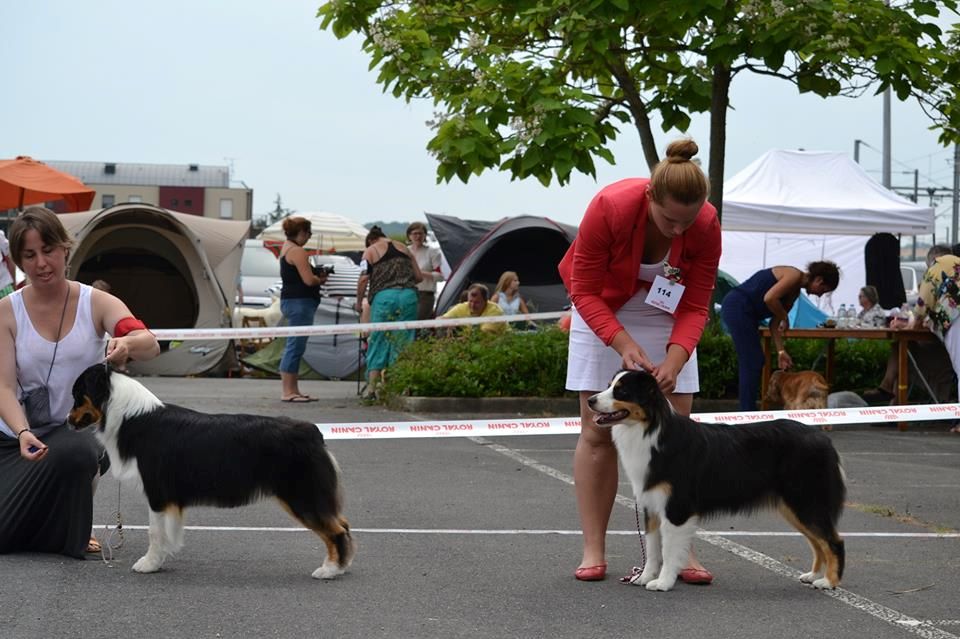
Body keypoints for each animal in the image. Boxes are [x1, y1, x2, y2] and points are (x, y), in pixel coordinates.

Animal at [584, 372, 848, 592]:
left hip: (805, 500)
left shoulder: (676, 508)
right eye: (609, 385)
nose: (590, 401)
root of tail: (824, 439)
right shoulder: (652, 506)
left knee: (833, 541)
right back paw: (813, 576)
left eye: (621, 391)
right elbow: (651, 548)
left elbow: (668, 550)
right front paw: (645, 577)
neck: (651, 432)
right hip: (794, 506)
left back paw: (829, 582)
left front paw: (663, 583)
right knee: (818, 542)